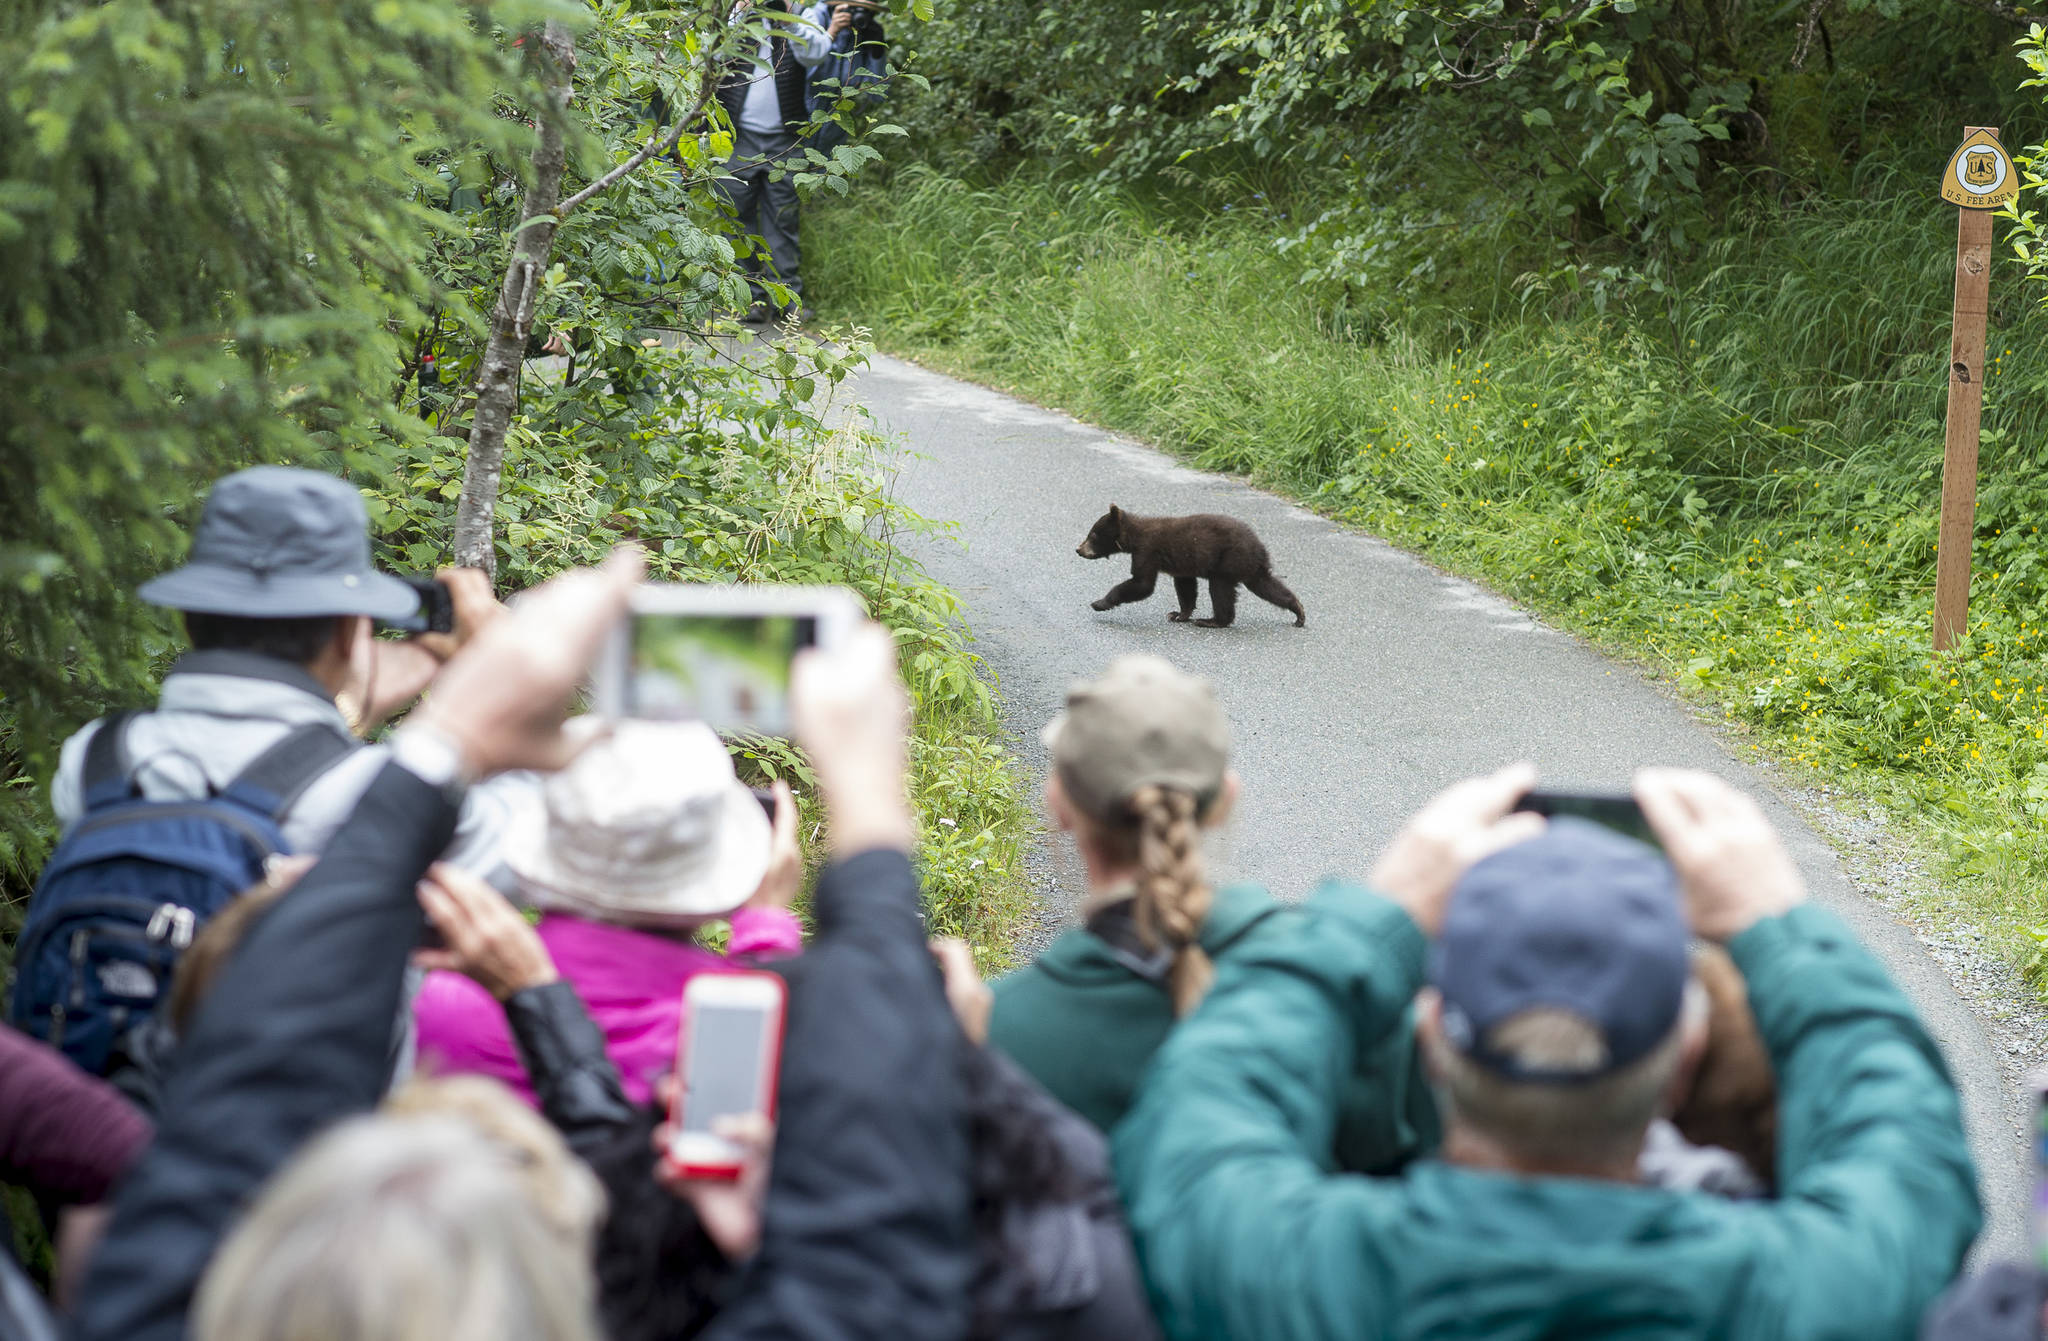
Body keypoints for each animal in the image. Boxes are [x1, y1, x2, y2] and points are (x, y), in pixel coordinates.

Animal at [1076, 505, 1306, 628]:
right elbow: (1185, 586)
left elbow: (1142, 584)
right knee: (1267, 585)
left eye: (1092, 534)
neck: (1134, 536)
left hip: (1228, 561)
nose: (1078, 549)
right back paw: (1298, 611)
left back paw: (1212, 621)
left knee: (1220, 589)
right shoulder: (1182, 565)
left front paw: (1099, 603)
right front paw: (1179, 614)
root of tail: (1259, 547)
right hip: (1251, 568)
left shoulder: (1147, 551)